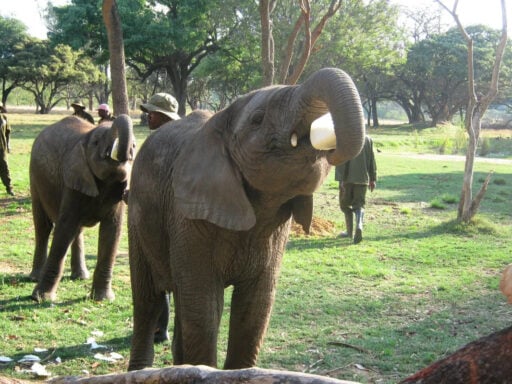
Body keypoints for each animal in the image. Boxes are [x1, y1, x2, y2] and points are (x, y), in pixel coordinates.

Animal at [29, 115, 135, 304]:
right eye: (96, 142)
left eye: (135, 147)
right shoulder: (73, 178)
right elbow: (65, 227)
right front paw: (40, 298)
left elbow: (112, 230)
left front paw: (102, 299)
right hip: (35, 178)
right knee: (43, 227)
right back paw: (35, 277)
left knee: (76, 231)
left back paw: (80, 276)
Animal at [127, 67, 364, 370]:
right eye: (258, 119)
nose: (331, 147)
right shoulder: (187, 214)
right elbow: (205, 308)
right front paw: (202, 370)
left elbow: (255, 308)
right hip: (136, 215)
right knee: (148, 302)